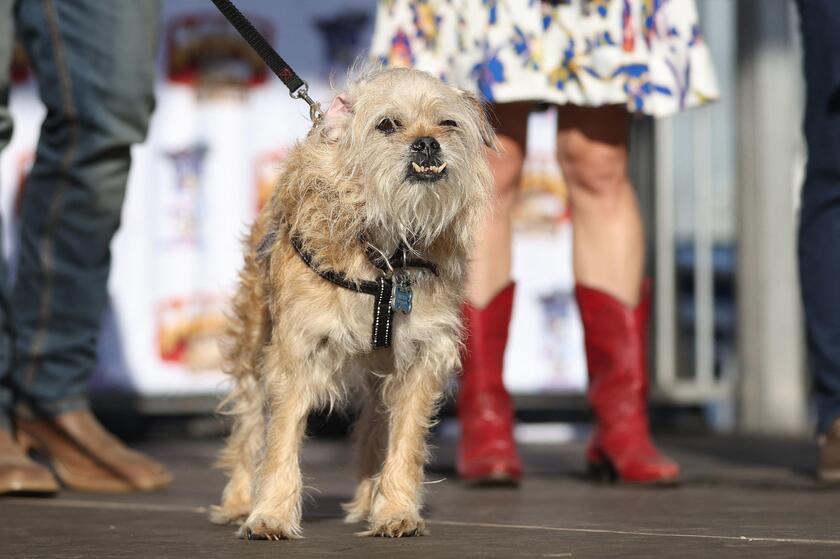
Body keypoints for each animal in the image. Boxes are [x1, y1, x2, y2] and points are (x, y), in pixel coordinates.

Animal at [210, 68, 496, 540]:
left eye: (447, 124)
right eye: (387, 125)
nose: (427, 143)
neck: (385, 252)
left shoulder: (423, 355)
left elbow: (405, 440)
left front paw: (395, 510)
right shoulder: (296, 353)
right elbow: (281, 440)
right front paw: (270, 514)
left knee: (374, 427)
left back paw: (368, 501)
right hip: (253, 343)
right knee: (249, 422)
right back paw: (238, 500)